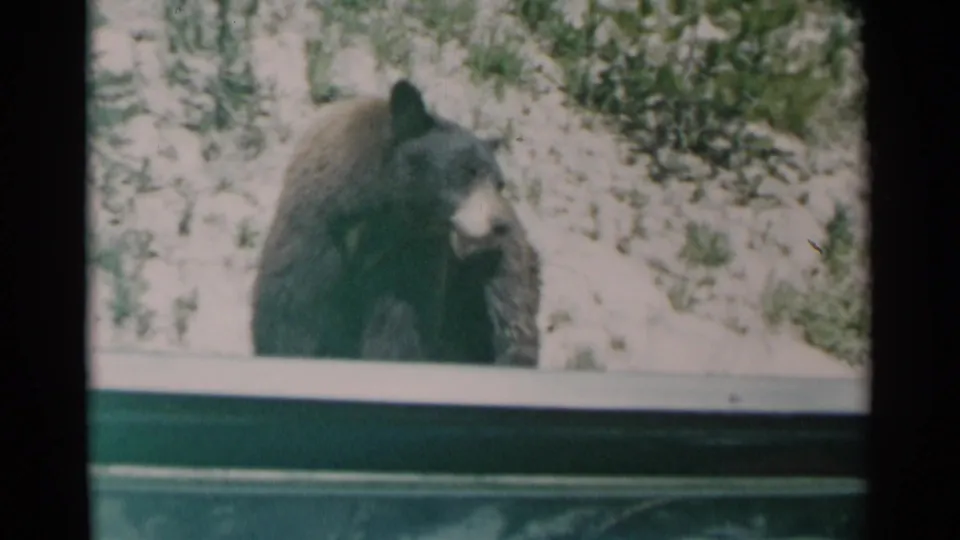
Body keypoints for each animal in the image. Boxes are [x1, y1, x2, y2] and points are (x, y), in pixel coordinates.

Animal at [251, 79, 540, 367]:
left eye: (499, 183)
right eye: (466, 173)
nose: (499, 224)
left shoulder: (409, 259)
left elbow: (399, 329)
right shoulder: (316, 233)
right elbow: (290, 314)